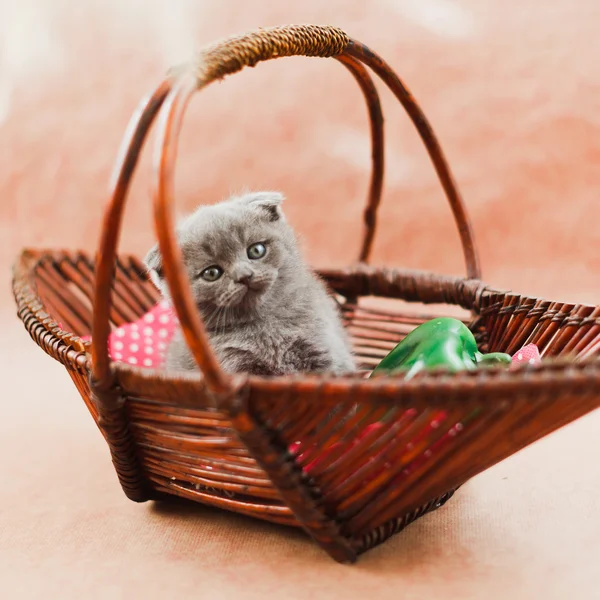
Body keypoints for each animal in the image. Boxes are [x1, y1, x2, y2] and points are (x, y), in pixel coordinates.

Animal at [143, 190, 354, 378]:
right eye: (211, 273)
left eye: (256, 250)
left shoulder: (324, 353)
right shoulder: (235, 366)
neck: (264, 325)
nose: (244, 275)